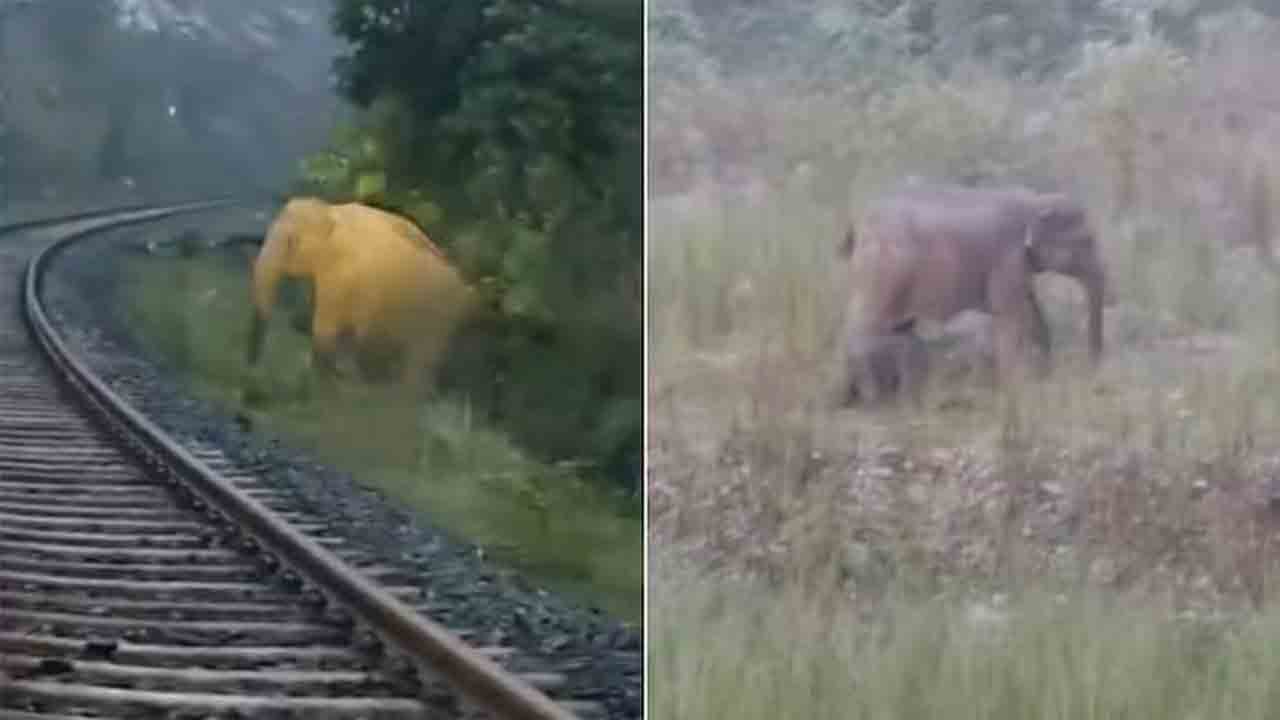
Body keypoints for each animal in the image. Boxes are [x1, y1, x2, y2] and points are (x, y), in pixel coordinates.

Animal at [247, 197, 480, 393]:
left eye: (291, 242)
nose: (253, 367)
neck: (329, 211)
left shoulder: (342, 276)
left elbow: (324, 331)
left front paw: (324, 381)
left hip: (436, 322)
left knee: (418, 367)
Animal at [839, 183, 1107, 389]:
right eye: (1086, 240)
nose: (1093, 372)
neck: (1034, 201)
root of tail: (858, 223)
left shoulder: (1018, 265)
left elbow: (1032, 310)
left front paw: (1042, 378)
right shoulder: (1007, 257)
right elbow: (1011, 315)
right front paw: (1014, 383)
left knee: (900, 332)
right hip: (884, 272)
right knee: (865, 328)